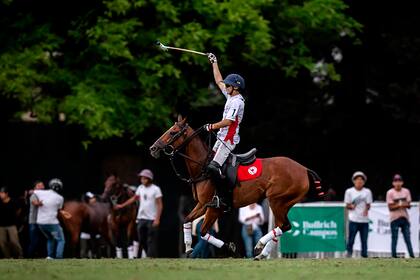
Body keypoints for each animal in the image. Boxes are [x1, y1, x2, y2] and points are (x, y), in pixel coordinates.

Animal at [151, 116, 324, 258]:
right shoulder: (202, 204)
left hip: (277, 199)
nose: (153, 149)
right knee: (281, 226)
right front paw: (188, 248)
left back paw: (259, 245)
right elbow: (187, 220)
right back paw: (262, 254)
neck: (204, 167)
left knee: (284, 225)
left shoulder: (215, 207)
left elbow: (203, 231)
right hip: (285, 202)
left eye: (173, 132)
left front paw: (230, 248)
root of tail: (303, 169)